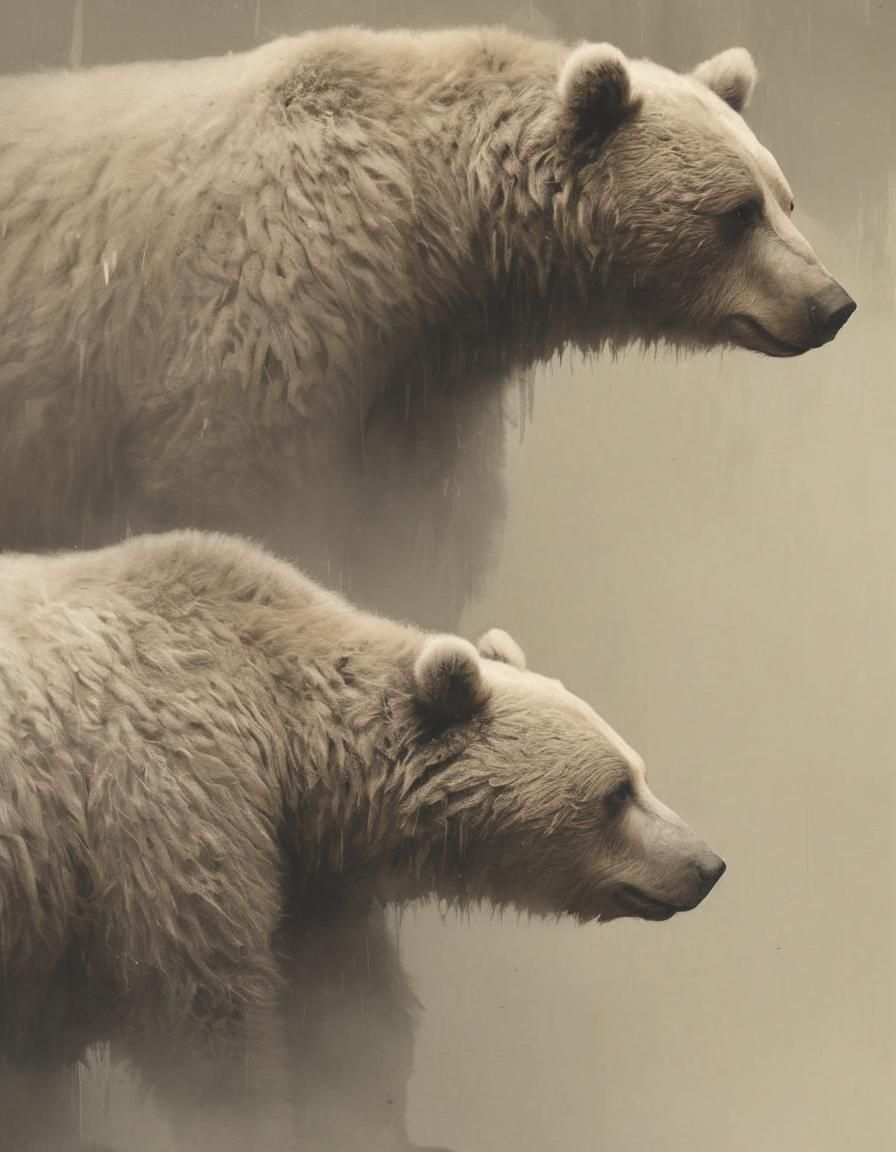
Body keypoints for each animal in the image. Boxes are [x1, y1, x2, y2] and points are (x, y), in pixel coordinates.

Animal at [0, 27, 853, 621]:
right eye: (737, 212)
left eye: (784, 198)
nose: (832, 304)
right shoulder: (263, 328)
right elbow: (243, 494)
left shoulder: (424, 393)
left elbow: (418, 533)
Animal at [0, 530, 725, 1152]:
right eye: (616, 793)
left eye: (640, 772)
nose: (708, 864)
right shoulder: (173, 817)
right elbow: (209, 1020)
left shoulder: (306, 883)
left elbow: (348, 1021)